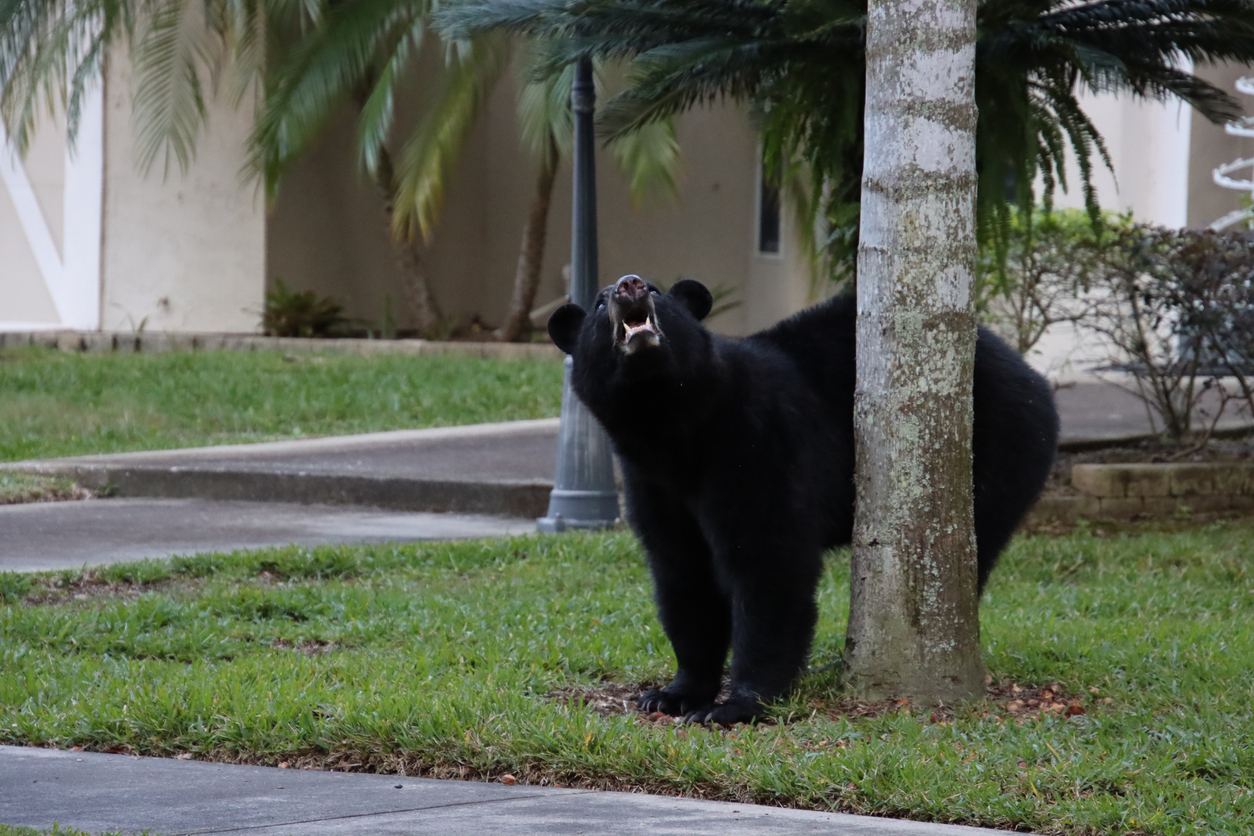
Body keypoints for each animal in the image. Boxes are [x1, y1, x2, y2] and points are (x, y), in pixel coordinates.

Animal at [549, 275, 1058, 726]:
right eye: (599, 302)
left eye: (655, 290)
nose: (630, 284)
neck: (673, 425)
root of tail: (1031, 376)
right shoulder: (652, 483)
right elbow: (683, 574)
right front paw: (673, 694)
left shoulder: (758, 442)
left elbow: (769, 562)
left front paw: (736, 705)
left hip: (997, 447)